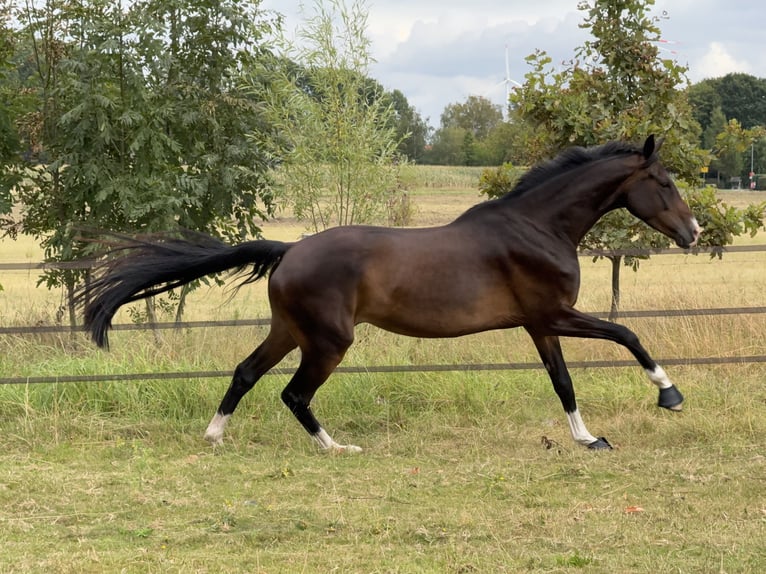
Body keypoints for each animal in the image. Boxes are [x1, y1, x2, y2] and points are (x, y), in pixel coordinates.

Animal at [75, 135, 701, 451]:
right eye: (664, 182)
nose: (693, 233)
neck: (537, 227)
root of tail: (290, 249)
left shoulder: (540, 324)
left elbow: (563, 381)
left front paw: (589, 439)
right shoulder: (556, 314)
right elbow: (626, 333)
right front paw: (669, 396)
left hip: (290, 331)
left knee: (246, 373)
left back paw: (214, 436)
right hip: (328, 342)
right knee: (293, 394)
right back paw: (337, 448)